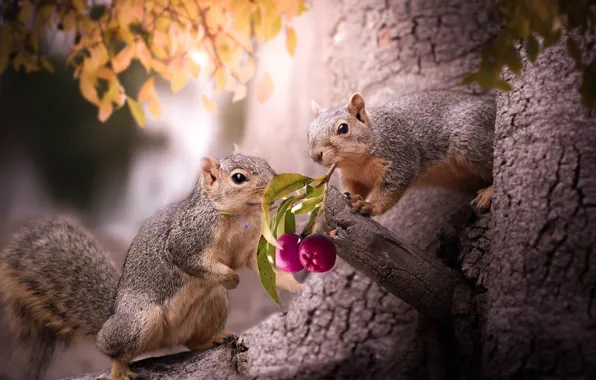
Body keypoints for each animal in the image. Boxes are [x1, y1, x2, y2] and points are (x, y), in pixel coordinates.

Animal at [0, 152, 300, 380]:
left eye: (265, 162)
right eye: (239, 177)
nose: (277, 183)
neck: (239, 216)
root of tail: (112, 314)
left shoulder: (250, 248)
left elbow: (264, 265)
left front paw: (295, 285)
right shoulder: (186, 240)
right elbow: (189, 259)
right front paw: (230, 278)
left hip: (214, 304)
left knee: (191, 341)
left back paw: (209, 340)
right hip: (139, 320)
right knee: (111, 348)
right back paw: (119, 369)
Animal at [304, 90, 496, 217]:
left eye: (343, 128)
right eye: (309, 131)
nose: (315, 155)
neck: (356, 162)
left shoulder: (400, 159)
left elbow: (389, 191)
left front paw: (369, 205)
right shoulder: (353, 177)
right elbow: (354, 188)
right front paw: (350, 196)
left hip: (471, 140)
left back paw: (489, 192)